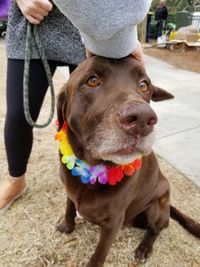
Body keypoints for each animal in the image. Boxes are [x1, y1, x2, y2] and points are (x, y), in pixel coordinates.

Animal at [55, 55, 199, 266]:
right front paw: (67, 225)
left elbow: (100, 253)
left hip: (156, 207)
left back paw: (144, 248)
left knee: (156, 229)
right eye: (92, 80)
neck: (91, 167)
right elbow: (69, 206)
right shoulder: (69, 191)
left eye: (143, 85)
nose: (142, 119)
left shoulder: (113, 221)